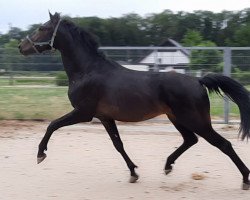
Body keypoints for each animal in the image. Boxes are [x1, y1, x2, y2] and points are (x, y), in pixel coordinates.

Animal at [19, 12, 250, 189]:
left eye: (41, 28)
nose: (22, 46)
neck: (88, 71)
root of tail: (198, 80)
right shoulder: (104, 117)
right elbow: (118, 144)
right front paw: (133, 173)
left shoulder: (83, 113)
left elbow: (52, 125)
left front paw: (40, 154)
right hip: (177, 118)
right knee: (190, 140)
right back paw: (167, 165)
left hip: (195, 120)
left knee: (223, 144)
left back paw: (245, 179)